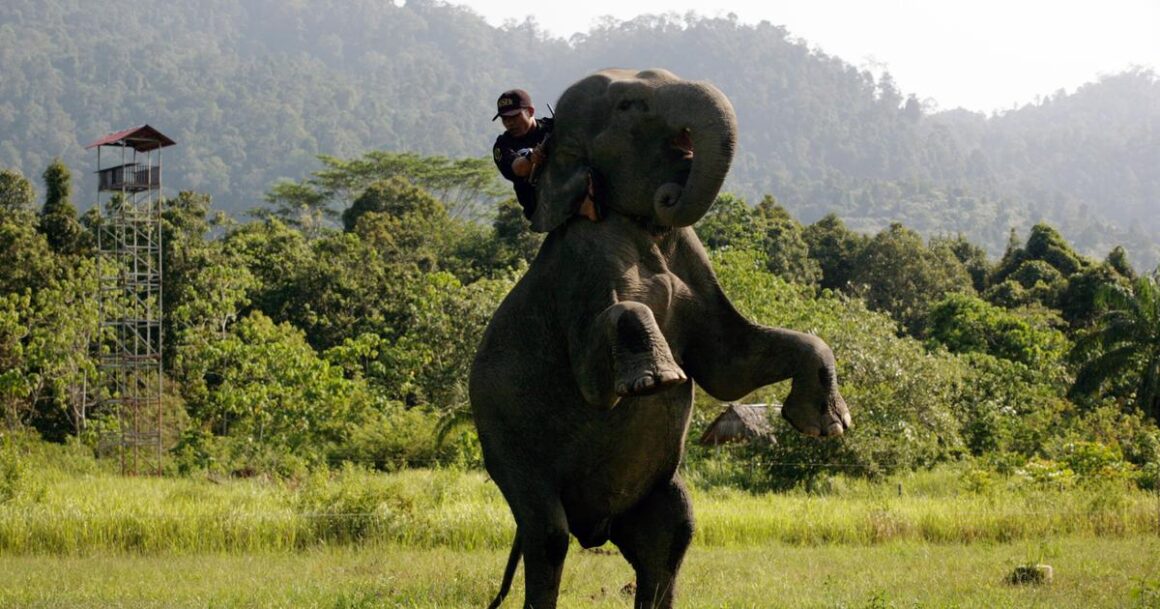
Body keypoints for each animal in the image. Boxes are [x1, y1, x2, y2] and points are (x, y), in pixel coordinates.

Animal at [469, 68, 851, 609]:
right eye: (630, 105)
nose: (670, 193)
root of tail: (595, 528)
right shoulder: (578, 268)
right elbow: (598, 377)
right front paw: (659, 378)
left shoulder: (692, 258)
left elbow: (729, 365)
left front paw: (829, 426)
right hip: (505, 445)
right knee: (548, 535)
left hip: (651, 492)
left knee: (674, 532)